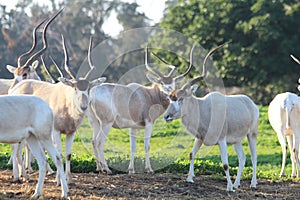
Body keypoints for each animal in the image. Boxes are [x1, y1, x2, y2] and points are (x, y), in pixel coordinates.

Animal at [9, 35, 106, 185]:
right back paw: (17, 177)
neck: (66, 104)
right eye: (75, 88)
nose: (83, 106)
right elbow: (58, 153)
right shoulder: (55, 131)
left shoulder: (71, 132)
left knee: (20, 147)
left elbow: (68, 154)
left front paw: (70, 180)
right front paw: (59, 181)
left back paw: (24, 176)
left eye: (89, 88)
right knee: (15, 147)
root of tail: (16, 87)